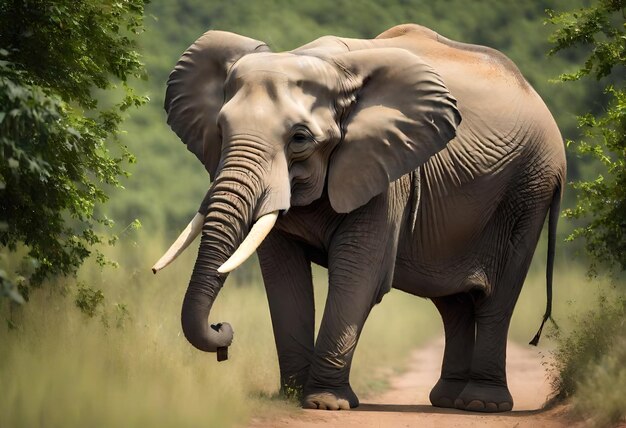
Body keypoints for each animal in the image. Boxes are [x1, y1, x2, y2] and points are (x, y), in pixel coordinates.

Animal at [152, 24, 564, 414]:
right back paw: (448, 400)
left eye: (299, 139)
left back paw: (482, 404)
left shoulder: (387, 169)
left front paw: (324, 403)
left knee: (498, 297)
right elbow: (283, 273)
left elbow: (358, 272)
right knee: (454, 302)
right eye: (220, 131)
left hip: (529, 188)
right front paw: (293, 397)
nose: (222, 332)